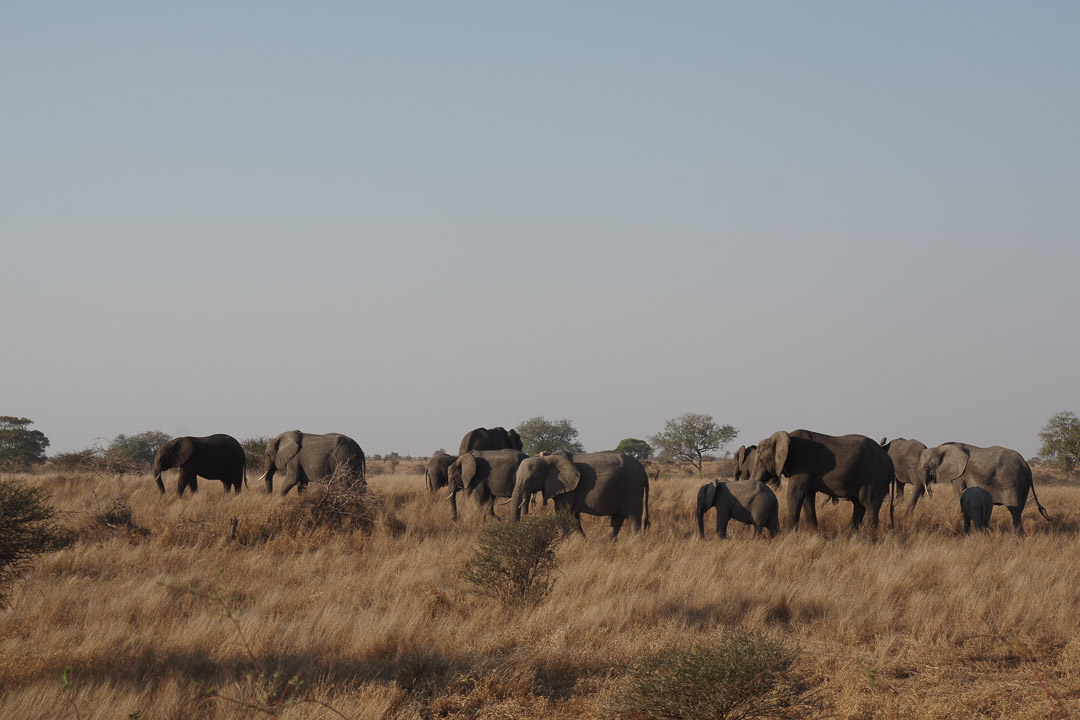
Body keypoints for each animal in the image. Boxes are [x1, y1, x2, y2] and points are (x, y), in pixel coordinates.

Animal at [507, 453, 648, 537]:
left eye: (531, 478)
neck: (547, 458)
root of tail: (643, 471)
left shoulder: (569, 488)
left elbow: (563, 512)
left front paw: (562, 541)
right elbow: (573, 516)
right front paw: (583, 541)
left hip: (633, 489)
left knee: (633, 518)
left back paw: (635, 543)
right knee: (617, 519)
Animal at [751, 431, 894, 533]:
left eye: (761, 459)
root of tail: (889, 459)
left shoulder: (803, 462)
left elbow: (795, 493)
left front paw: (790, 534)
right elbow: (807, 496)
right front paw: (813, 534)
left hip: (873, 475)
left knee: (870, 504)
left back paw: (868, 536)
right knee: (859, 505)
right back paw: (853, 535)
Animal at [915, 440, 1049, 535]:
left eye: (927, 466)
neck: (941, 448)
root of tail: (1027, 466)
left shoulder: (960, 474)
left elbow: (958, 494)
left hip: (1012, 481)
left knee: (1014, 511)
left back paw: (1017, 537)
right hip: (1023, 484)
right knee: (1019, 510)